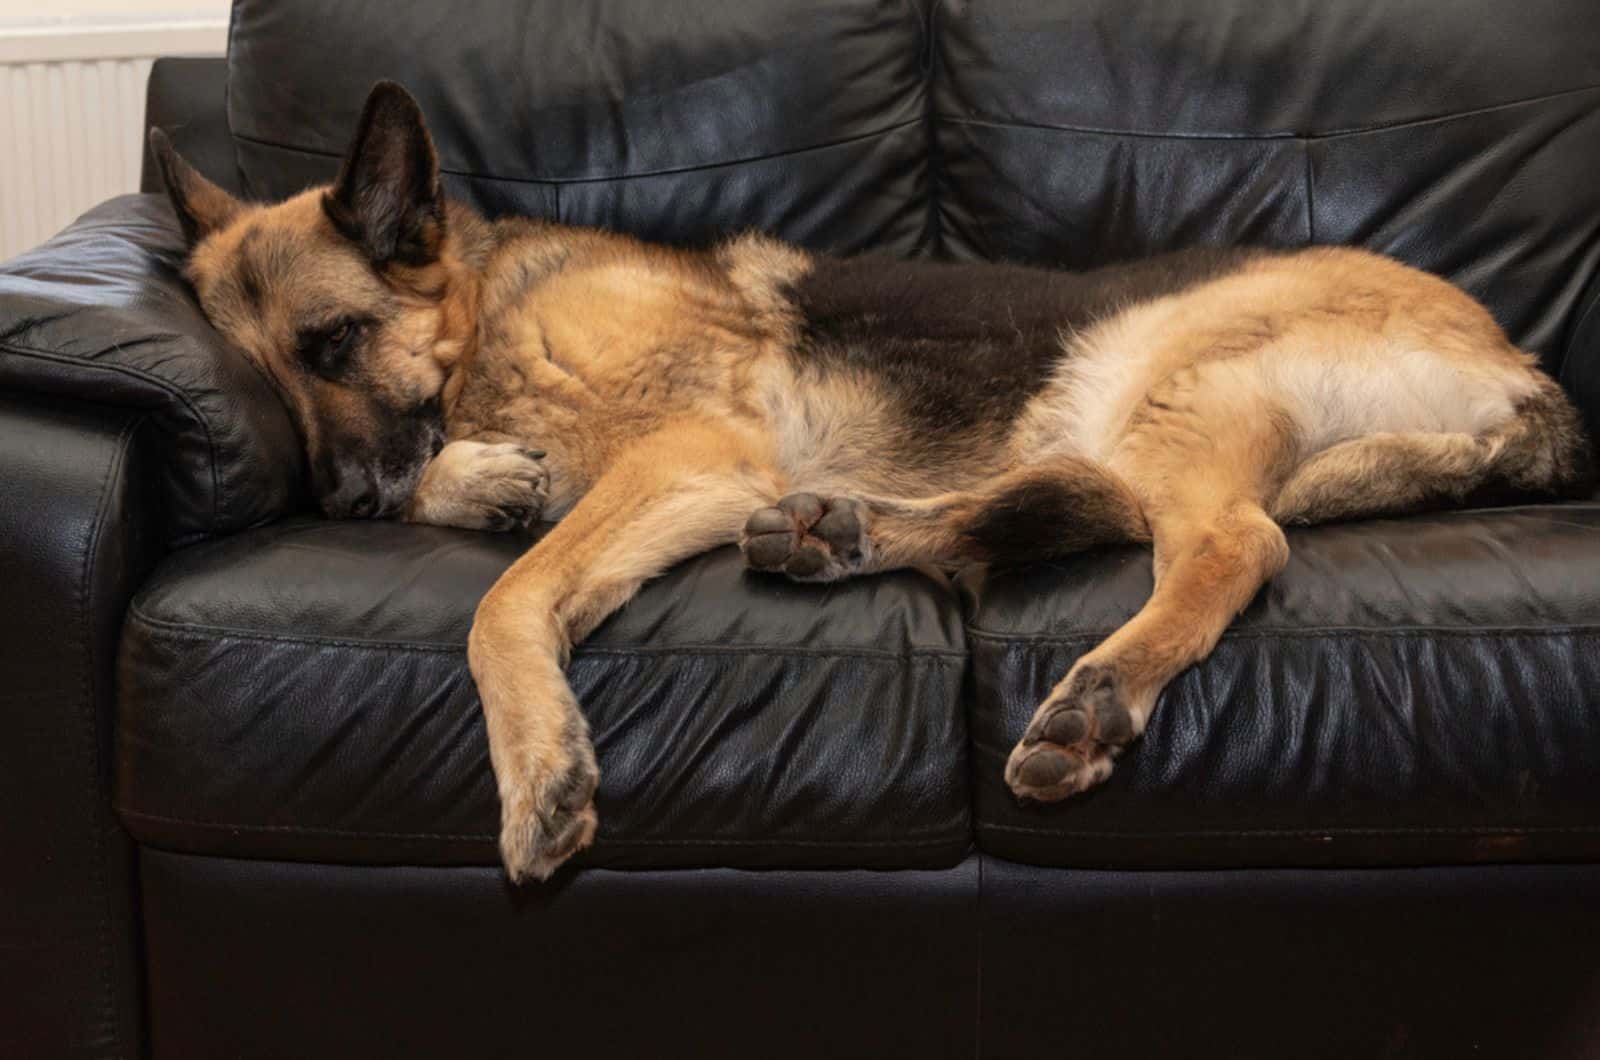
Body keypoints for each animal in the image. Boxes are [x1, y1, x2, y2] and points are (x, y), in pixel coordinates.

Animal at [147, 83, 1587, 883]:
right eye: (263, 380)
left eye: (334, 345)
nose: (343, 507)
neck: (493, 304)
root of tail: (1519, 368)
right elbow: (486, 500)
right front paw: (477, 478)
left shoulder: (685, 461)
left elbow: (501, 604)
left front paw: (539, 765)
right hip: (1120, 407)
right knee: (1085, 503)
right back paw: (840, 533)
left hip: (1162, 362)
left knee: (1234, 542)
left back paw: (1095, 693)